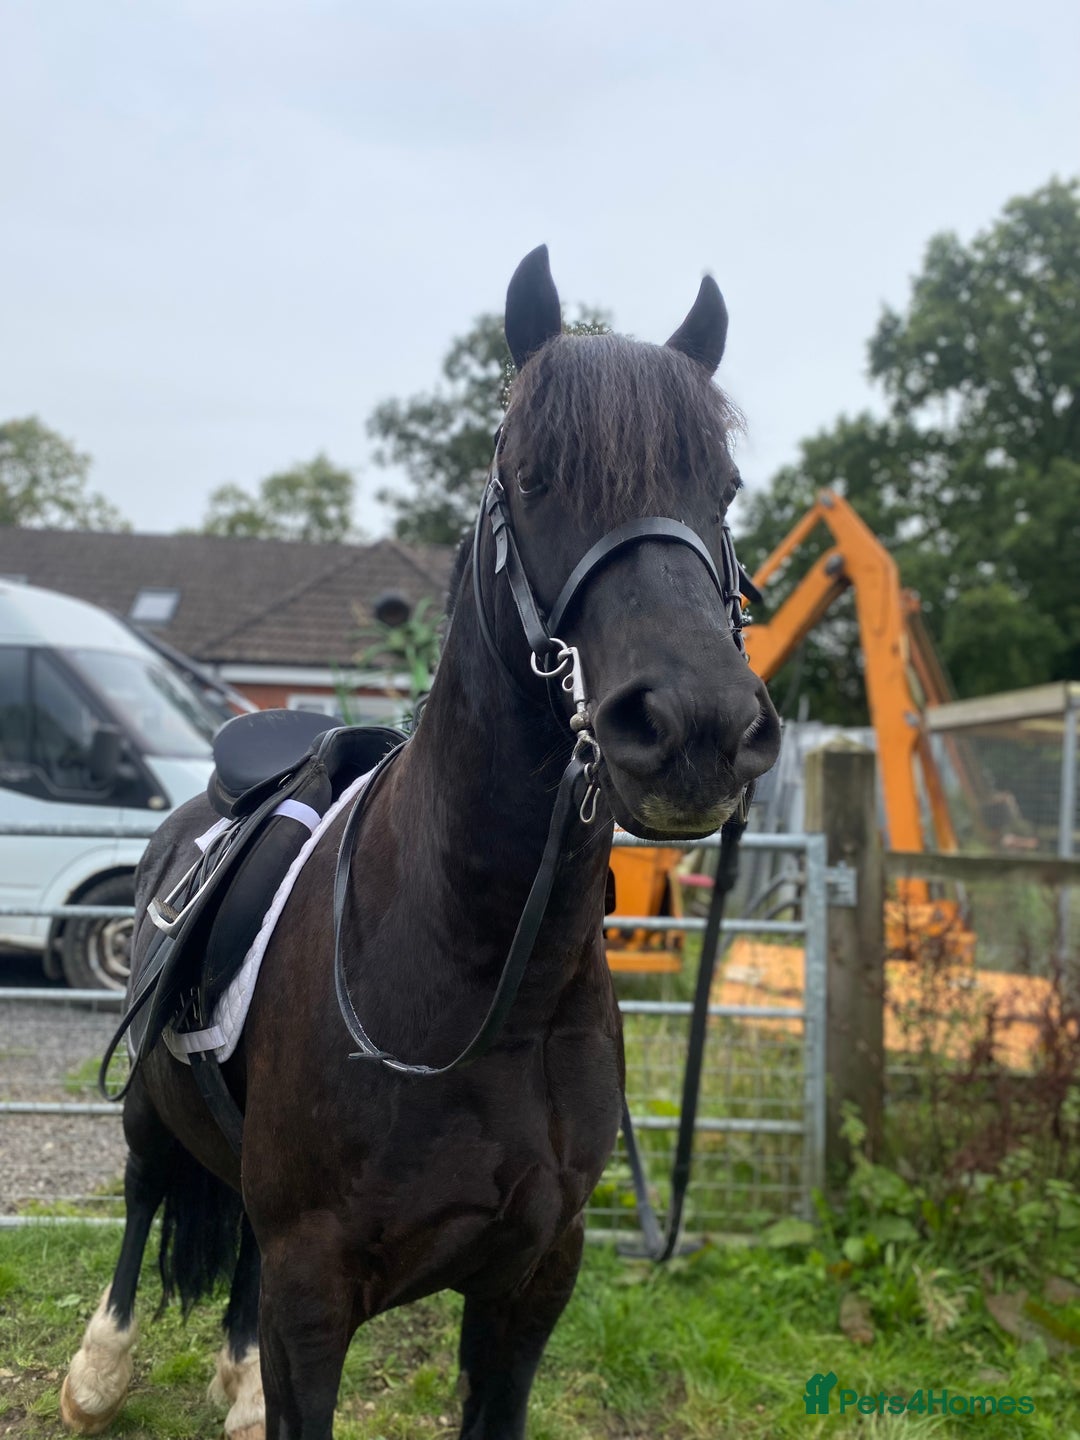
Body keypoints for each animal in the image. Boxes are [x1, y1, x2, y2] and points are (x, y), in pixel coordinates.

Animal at [60, 245, 781, 1440]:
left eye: (719, 490)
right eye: (534, 476)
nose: (698, 728)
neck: (484, 979)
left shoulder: (531, 1284)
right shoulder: (318, 1299)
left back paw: (233, 1378)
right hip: (152, 1107)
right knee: (145, 1189)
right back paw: (99, 1369)